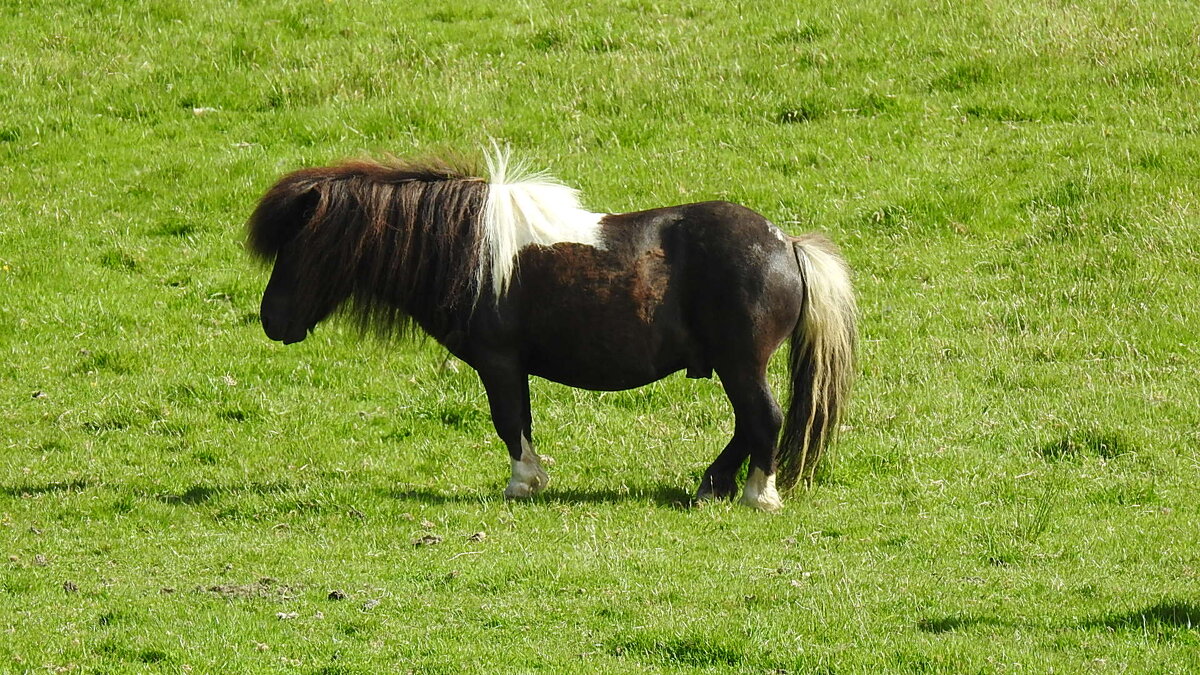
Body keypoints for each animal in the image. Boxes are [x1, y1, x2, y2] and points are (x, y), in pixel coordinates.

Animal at [248, 149, 854, 509]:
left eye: (295, 248)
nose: (271, 321)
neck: (469, 251)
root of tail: (786, 245)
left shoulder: (498, 362)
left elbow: (509, 420)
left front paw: (523, 481)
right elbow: (520, 418)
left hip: (741, 363)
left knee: (763, 419)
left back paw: (758, 494)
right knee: (747, 424)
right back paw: (711, 485)